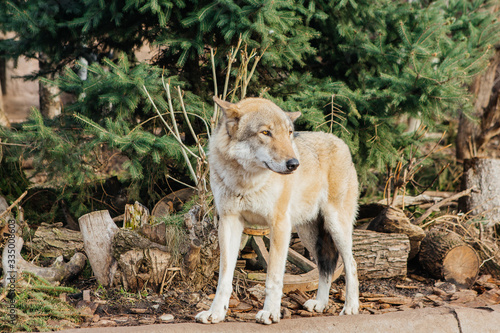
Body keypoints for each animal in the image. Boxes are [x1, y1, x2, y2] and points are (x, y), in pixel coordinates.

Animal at [196, 96, 360, 324]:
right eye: (266, 132)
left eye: (289, 133)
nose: (294, 164)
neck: (246, 183)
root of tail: (340, 140)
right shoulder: (229, 222)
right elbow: (224, 278)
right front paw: (216, 313)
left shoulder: (279, 225)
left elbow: (273, 278)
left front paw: (270, 313)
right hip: (308, 235)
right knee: (325, 266)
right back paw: (320, 304)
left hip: (336, 226)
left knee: (351, 264)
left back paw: (351, 306)